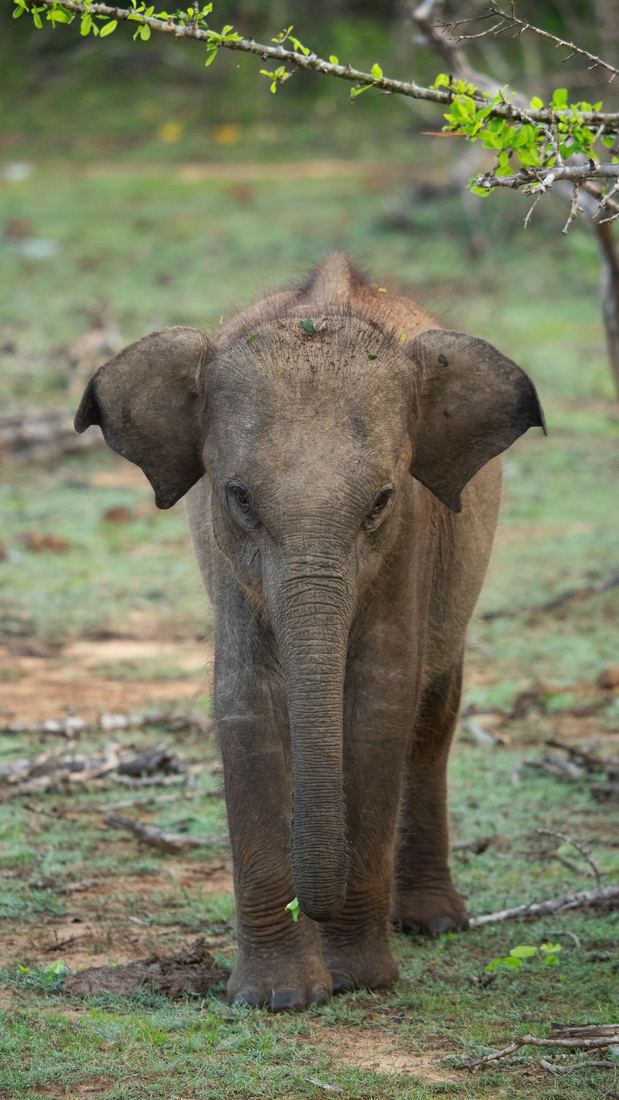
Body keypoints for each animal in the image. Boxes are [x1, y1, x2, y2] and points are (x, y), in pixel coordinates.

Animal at [75, 253, 545, 1011]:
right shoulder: (227, 558)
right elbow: (247, 702)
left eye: (380, 500)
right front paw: (276, 997)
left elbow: (379, 702)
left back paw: (433, 922)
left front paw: (355, 979)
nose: (315, 905)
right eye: (239, 497)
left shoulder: (411, 535)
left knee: (434, 714)